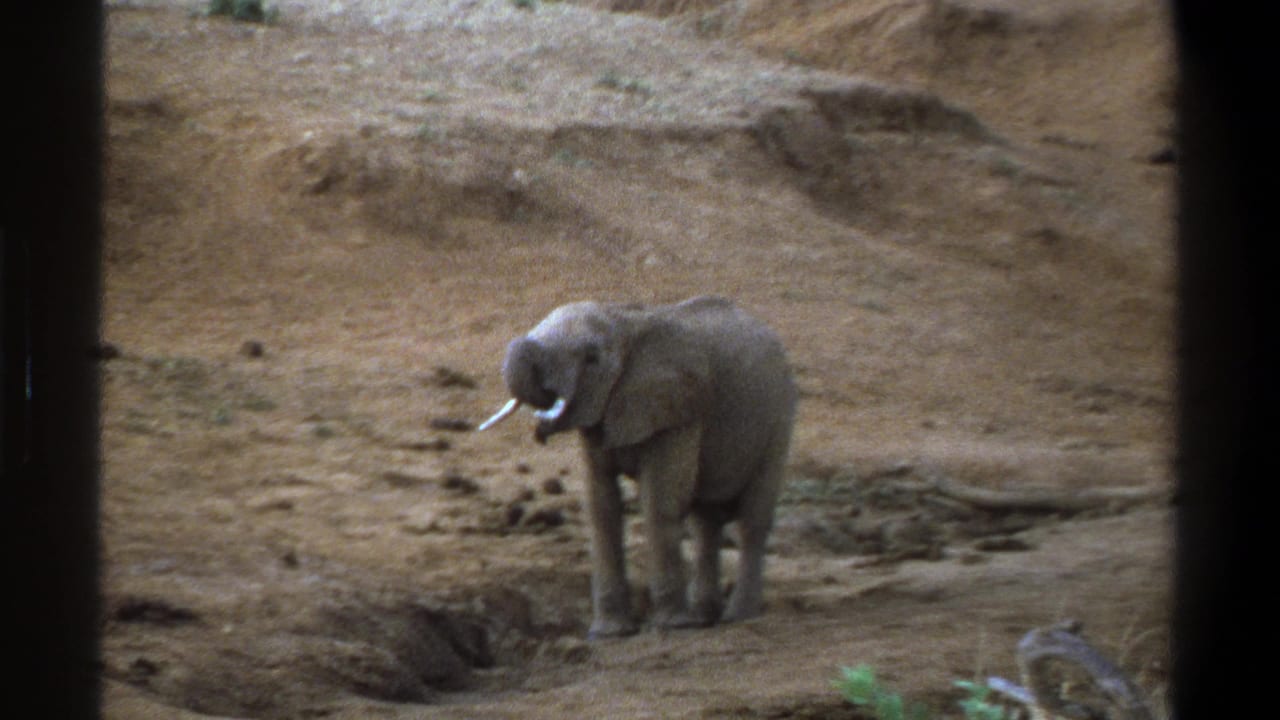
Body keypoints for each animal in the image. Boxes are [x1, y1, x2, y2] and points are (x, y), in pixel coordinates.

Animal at [479, 295, 797, 638]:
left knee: (752, 519)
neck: (624, 322)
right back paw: (704, 616)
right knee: (705, 522)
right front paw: (609, 633)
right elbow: (601, 506)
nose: (540, 431)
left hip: (779, 419)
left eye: (591, 359)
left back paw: (737, 616)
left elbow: (659, 501)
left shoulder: (678, 408)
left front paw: (672, 626)